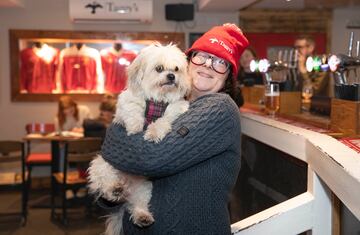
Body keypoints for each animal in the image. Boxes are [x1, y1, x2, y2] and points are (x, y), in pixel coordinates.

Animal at [87, 42, 191, 235]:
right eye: (159, 68)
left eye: (176, 69)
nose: (172, 76)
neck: (158, 100)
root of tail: (126, 186)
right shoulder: (128, 103)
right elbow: (133, 110)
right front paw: (135, 127)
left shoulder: (176, 108)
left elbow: (164, 120)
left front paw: (153, 132)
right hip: (101, 165)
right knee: (105, 183)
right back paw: (115, 188)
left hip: (143, 189)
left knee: (138, 205)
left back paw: (142, 217)